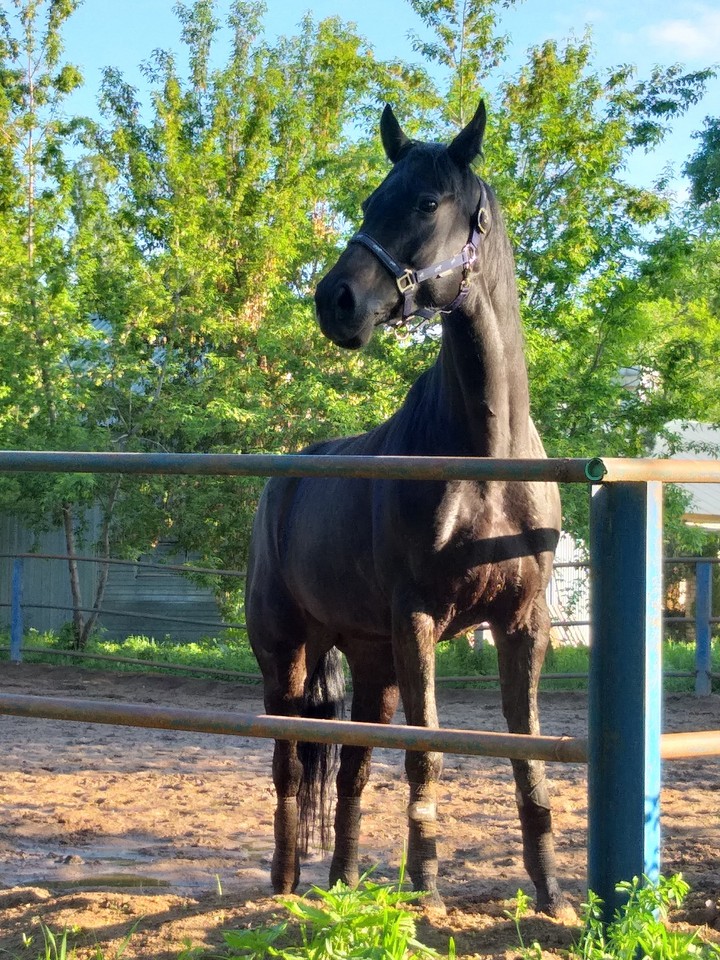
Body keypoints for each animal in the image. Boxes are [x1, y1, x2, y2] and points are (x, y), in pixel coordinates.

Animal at [245, 99, 566, 916]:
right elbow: (427, 754)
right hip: (286, 655)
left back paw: (345, 883)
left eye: (426, 203)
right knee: (288, 764)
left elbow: (527, 758)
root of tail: (282, 479)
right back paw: (286, 888)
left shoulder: (523, 624)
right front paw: (427, 889)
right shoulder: (418, 617)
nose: (337, 301)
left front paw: (553, 894)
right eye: (369, 203)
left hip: (370, 660)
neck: (485, 457)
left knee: (354, 767)